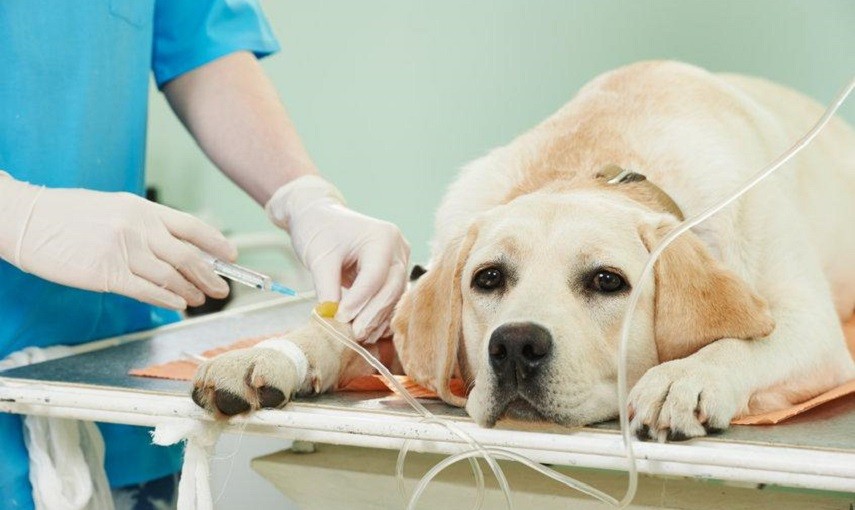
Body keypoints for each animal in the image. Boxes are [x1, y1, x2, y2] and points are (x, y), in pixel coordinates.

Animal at [192, 61, 855, 440]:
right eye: (487, 278)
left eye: (608, 281)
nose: (514, 345)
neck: (597, 164)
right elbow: (345, 329)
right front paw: (270, 352)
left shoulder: (818, 333)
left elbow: (741, 342)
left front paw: (685, 377)